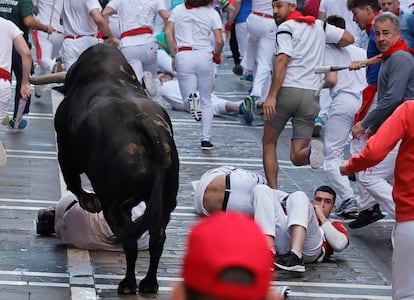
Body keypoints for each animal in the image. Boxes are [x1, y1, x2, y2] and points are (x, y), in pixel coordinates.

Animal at [53, 44, 180, 292]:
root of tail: (146, 126)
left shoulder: (64, 148)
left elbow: (72, 179)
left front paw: (88, 201)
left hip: (115, 205)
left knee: (129, 241)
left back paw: (128, 283)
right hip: (166, 201)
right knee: (157, 238)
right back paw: (149, 283)